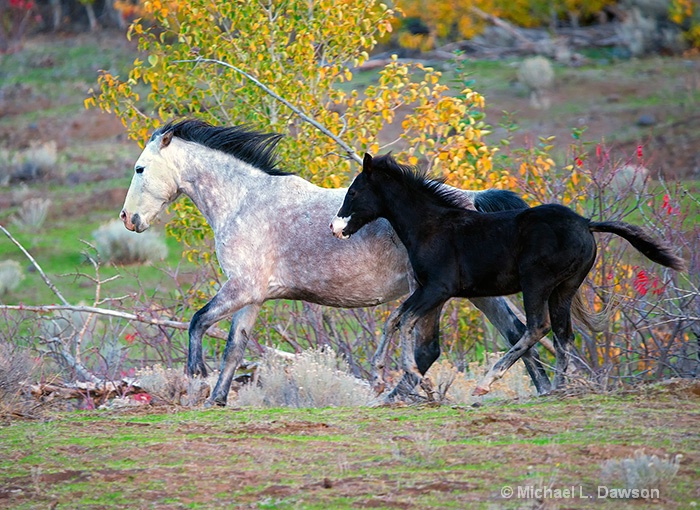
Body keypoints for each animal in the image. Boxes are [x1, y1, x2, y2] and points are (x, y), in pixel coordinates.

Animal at [121, 119, 552, 406]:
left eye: (140, 168)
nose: (128, 219)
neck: (244, 200)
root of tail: (476, 200)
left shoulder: (241, 288)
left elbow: (198, 321)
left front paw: (196, 379)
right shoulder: (252, 297)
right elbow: (233, 348)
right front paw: (217, 399)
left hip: (435, 293)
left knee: (434, 348)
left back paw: (393, 396)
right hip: (474, 292)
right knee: (515, 331)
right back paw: (543, 389)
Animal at [330, 153, 688, 400]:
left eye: (354, 192)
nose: (335, 227)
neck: (432, 227)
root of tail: (587, 223)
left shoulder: (438, 288)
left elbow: (403, 321)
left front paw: (411, 379)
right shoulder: (427, 290)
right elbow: (397, 320)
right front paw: (384, 378)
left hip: (536, 283)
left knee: (538, 327)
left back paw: (487, 383)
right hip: (565, 288)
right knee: (563, 335)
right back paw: (557, 389)